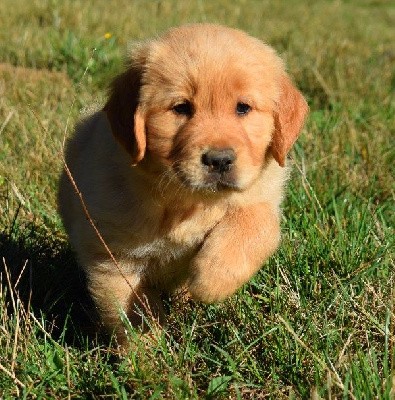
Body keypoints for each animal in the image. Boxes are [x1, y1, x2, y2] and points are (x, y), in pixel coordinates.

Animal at [58, 23, 310, 342]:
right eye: (181, 108)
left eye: (243, 108)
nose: (219, 160)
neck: (189, 201)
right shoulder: (112, 254)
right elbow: (132, 309)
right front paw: (147, 351)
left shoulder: (261, 195)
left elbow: (253, 225)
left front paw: (212, 279)